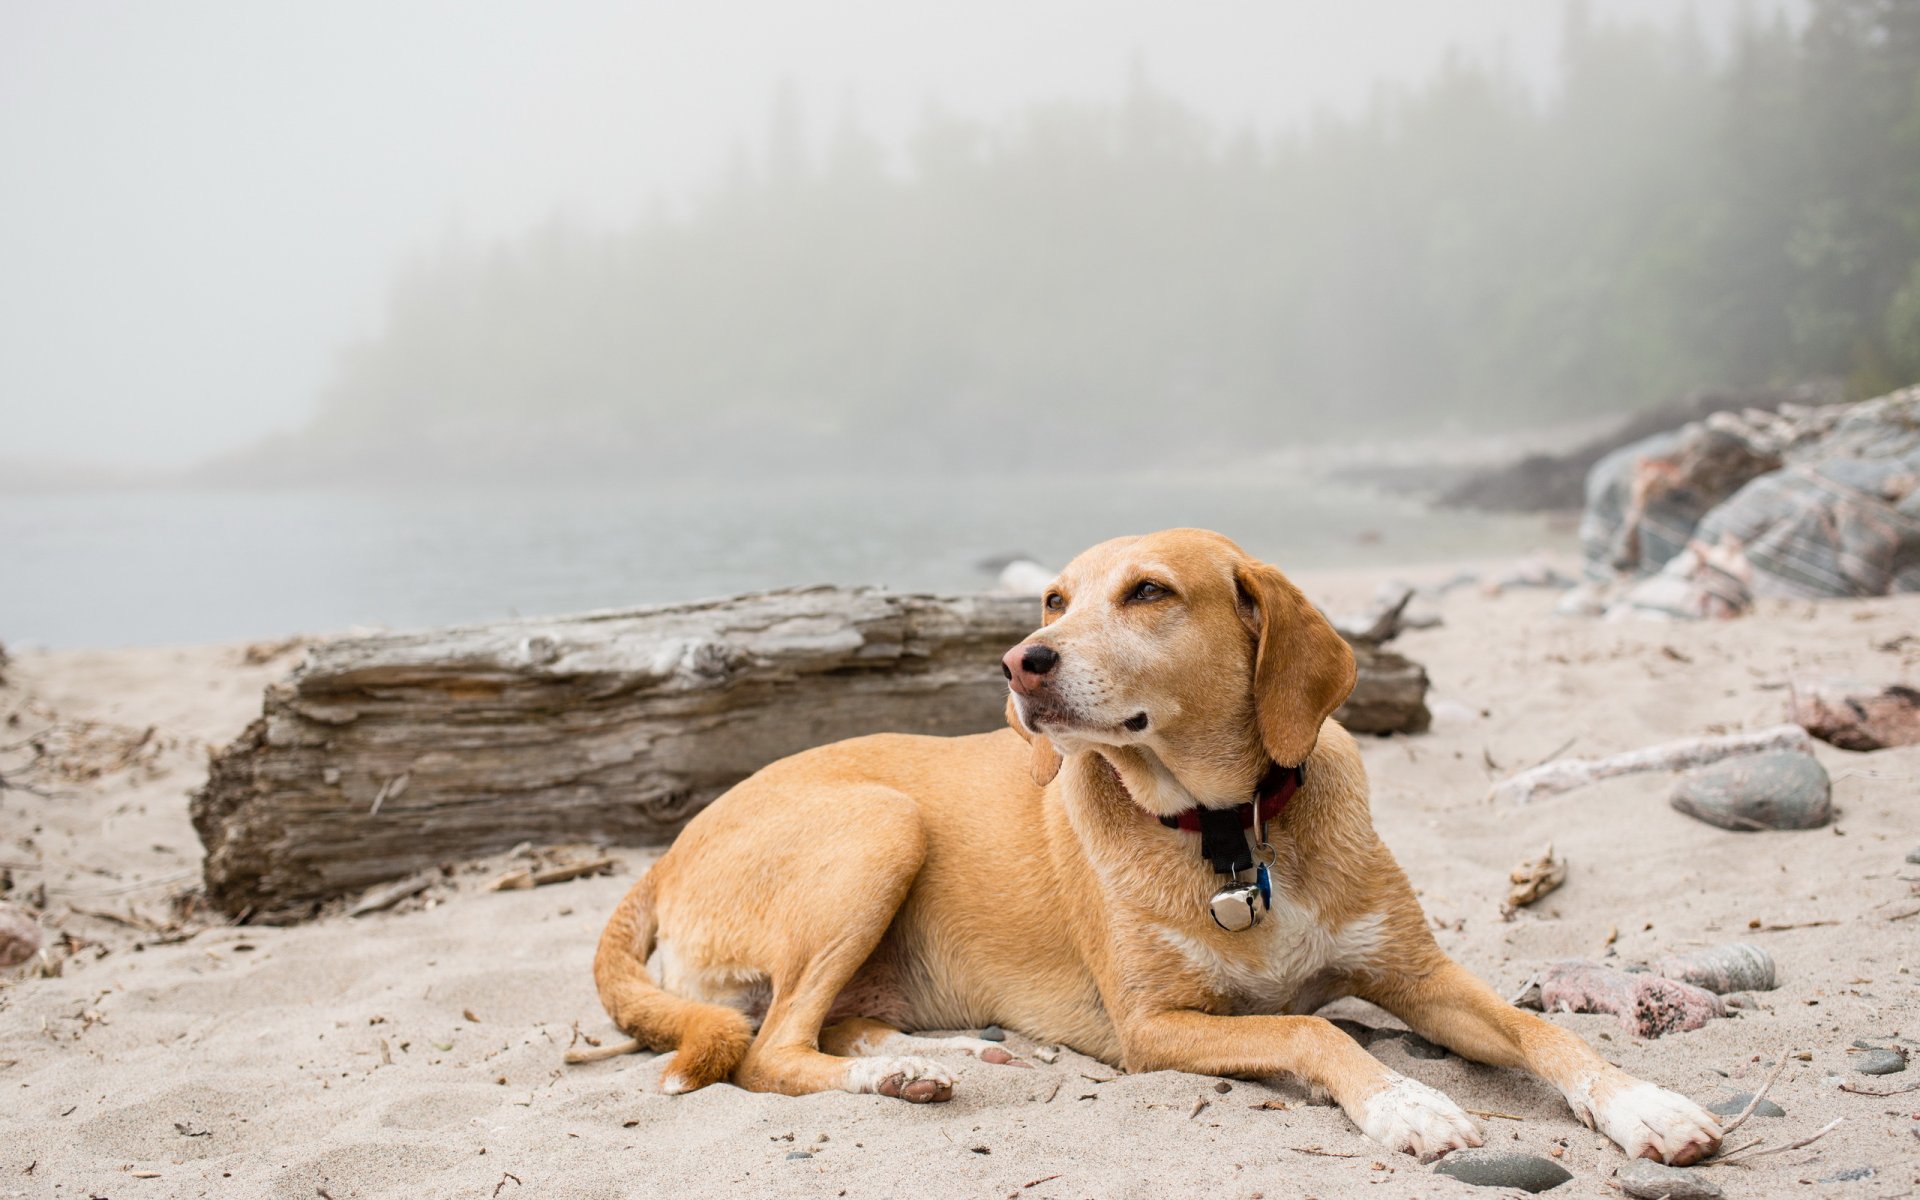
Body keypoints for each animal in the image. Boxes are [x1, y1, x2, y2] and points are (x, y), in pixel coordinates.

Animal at [572, 526, 1728, 1159]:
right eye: (1051, 597)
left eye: (1149, 592)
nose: (1019, 661)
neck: (1227, 829)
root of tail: (664, 856)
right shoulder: (1154, 1027)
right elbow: (1314, 1032)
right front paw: (1407, 1103)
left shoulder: (1422, 976)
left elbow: (1542, 1033)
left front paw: (1647, 1105)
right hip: (878, 825)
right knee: (770, 1050)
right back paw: (896, 1079)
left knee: (820, 1028)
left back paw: (929, 1058)